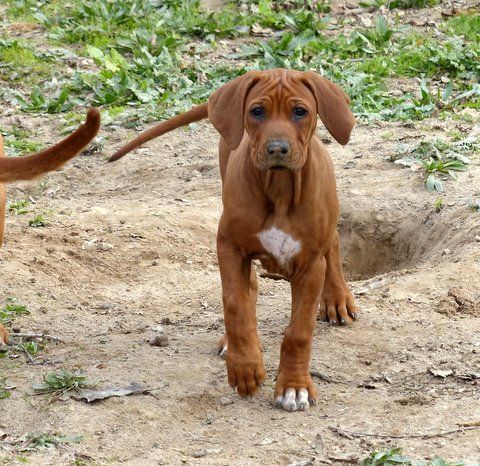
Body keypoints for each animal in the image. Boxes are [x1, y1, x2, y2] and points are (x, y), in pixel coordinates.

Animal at [110, 69, 358, 411]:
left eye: (300, 112)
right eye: (257, 111)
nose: (277, 148)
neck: (279, 189)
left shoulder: (309, 266)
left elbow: (299, 331)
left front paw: (294, 386)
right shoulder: (228, 246)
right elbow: (235, 305)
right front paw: (245, 366)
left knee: (332, 241)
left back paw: (337, 299)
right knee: (248, 288)